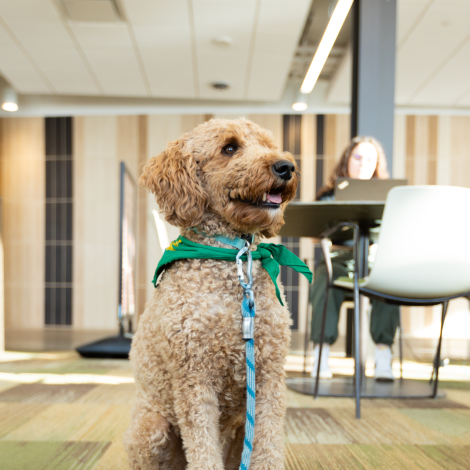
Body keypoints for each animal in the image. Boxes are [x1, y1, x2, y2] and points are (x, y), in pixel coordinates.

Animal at [125, 118, 300, 470]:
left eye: (267, 145)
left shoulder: (269, 375)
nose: (285, 166)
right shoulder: (194, 378)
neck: (233, 259)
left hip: (238, 426)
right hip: (151, 427)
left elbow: (269, 445)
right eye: (229, 148)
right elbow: (203, 449)